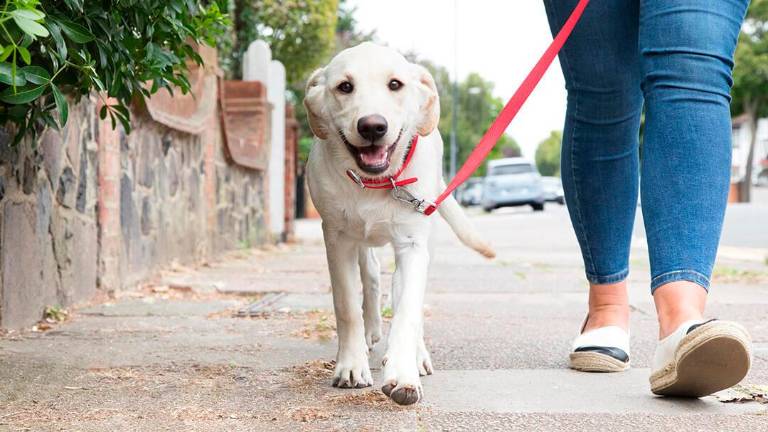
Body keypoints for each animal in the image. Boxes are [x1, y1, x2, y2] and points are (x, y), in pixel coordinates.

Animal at [304, 41, 496, 404]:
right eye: (344, 87)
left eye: (395, 84)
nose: (372, 126)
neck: (376, 184)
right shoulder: (336, 239)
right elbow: (346, 305)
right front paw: (351, 366)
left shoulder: (412, 245)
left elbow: (407, 311)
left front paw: (404, 375)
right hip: (359, 241)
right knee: (371, 274)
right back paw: (372, 331)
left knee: (403, 294)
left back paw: (416, 355)